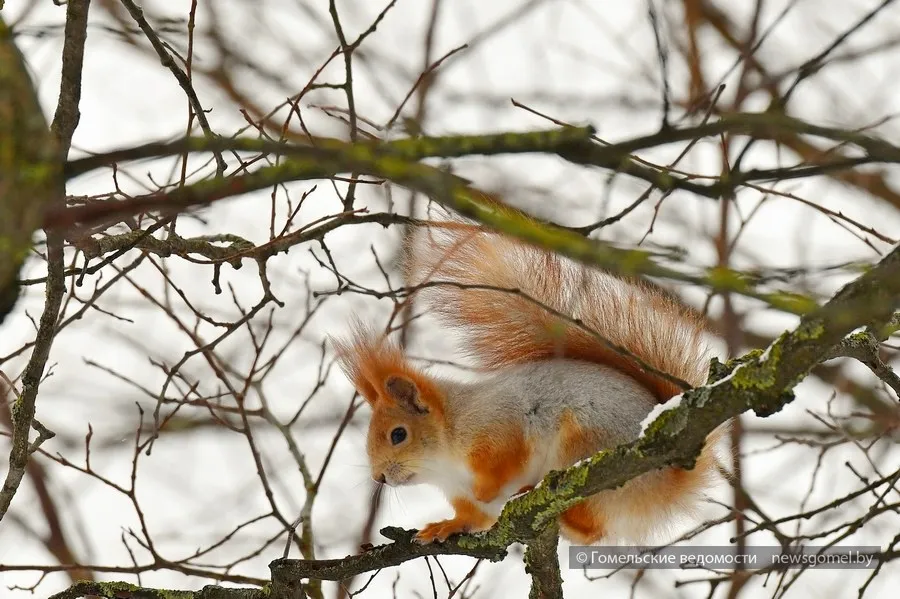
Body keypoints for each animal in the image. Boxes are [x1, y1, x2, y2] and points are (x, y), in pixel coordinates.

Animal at [334, 207, 720, 548]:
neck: (444, 459)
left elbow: (506, 459)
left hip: (584, 445)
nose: (379, 477)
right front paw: (445, 526)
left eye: (398, 434)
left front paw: (488, 489)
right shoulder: (461, 495)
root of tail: (667, 481)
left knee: (590, 522)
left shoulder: (498, 426)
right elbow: (472, 518)